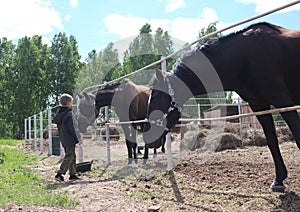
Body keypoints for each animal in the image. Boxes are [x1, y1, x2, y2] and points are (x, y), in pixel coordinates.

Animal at [143, 22, 300, 193]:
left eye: (157, 97)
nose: (147, 137)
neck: (246, 57)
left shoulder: (283, 101)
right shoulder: (259, 105)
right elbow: (272, 140)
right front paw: (278, 180)